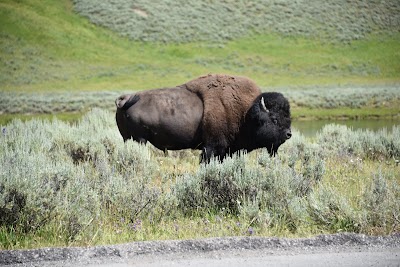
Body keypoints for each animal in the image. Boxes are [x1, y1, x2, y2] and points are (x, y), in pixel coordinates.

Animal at [115, 75, 290, 163]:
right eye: (274, 119)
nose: (289, 134)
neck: (246, 113)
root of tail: (127, 99)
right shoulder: (212, 147)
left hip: (128, 138)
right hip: (139, 139)